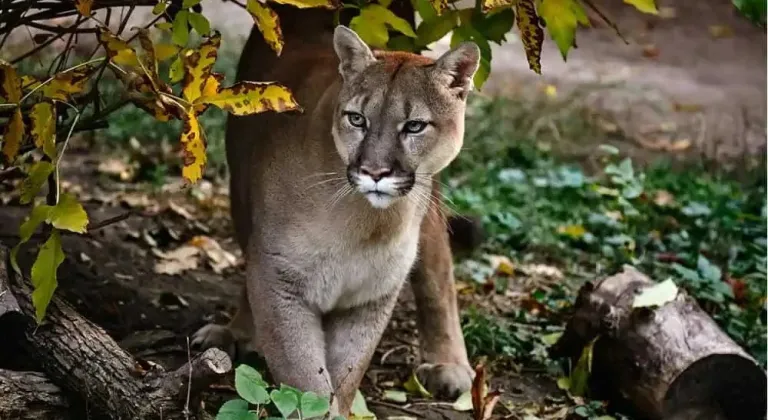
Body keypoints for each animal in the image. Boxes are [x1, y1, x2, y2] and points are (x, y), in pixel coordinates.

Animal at [192, 10, 480, 416]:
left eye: (414, 126)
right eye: (357, 119)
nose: (375, 171)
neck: (369, 224)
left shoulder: (370, 299)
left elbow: (344, 376)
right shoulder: (280, 283)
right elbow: (305, 380)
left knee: (438, 266)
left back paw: (449, 364)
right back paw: (233, 333)